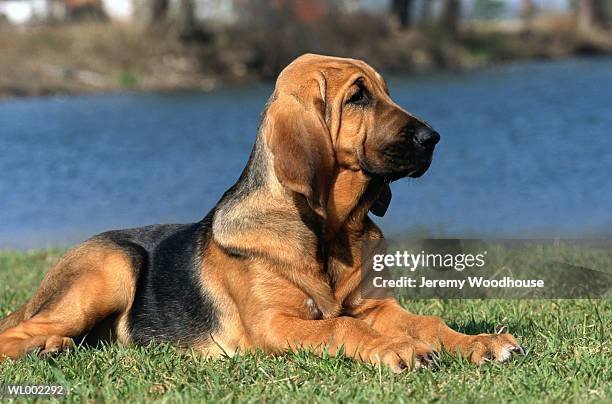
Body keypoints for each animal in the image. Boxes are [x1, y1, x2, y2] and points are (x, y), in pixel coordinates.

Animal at [1, 54, 520, 372]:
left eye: (385, 92)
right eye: (358, 97)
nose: (433, 139)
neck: (330, 231)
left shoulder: (377, 307)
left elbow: (423, 322)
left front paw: (480, 342)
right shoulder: (276, 324)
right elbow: (342, 324)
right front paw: (397, 348)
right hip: (112, 267)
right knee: (18, 331)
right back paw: (43, 347)